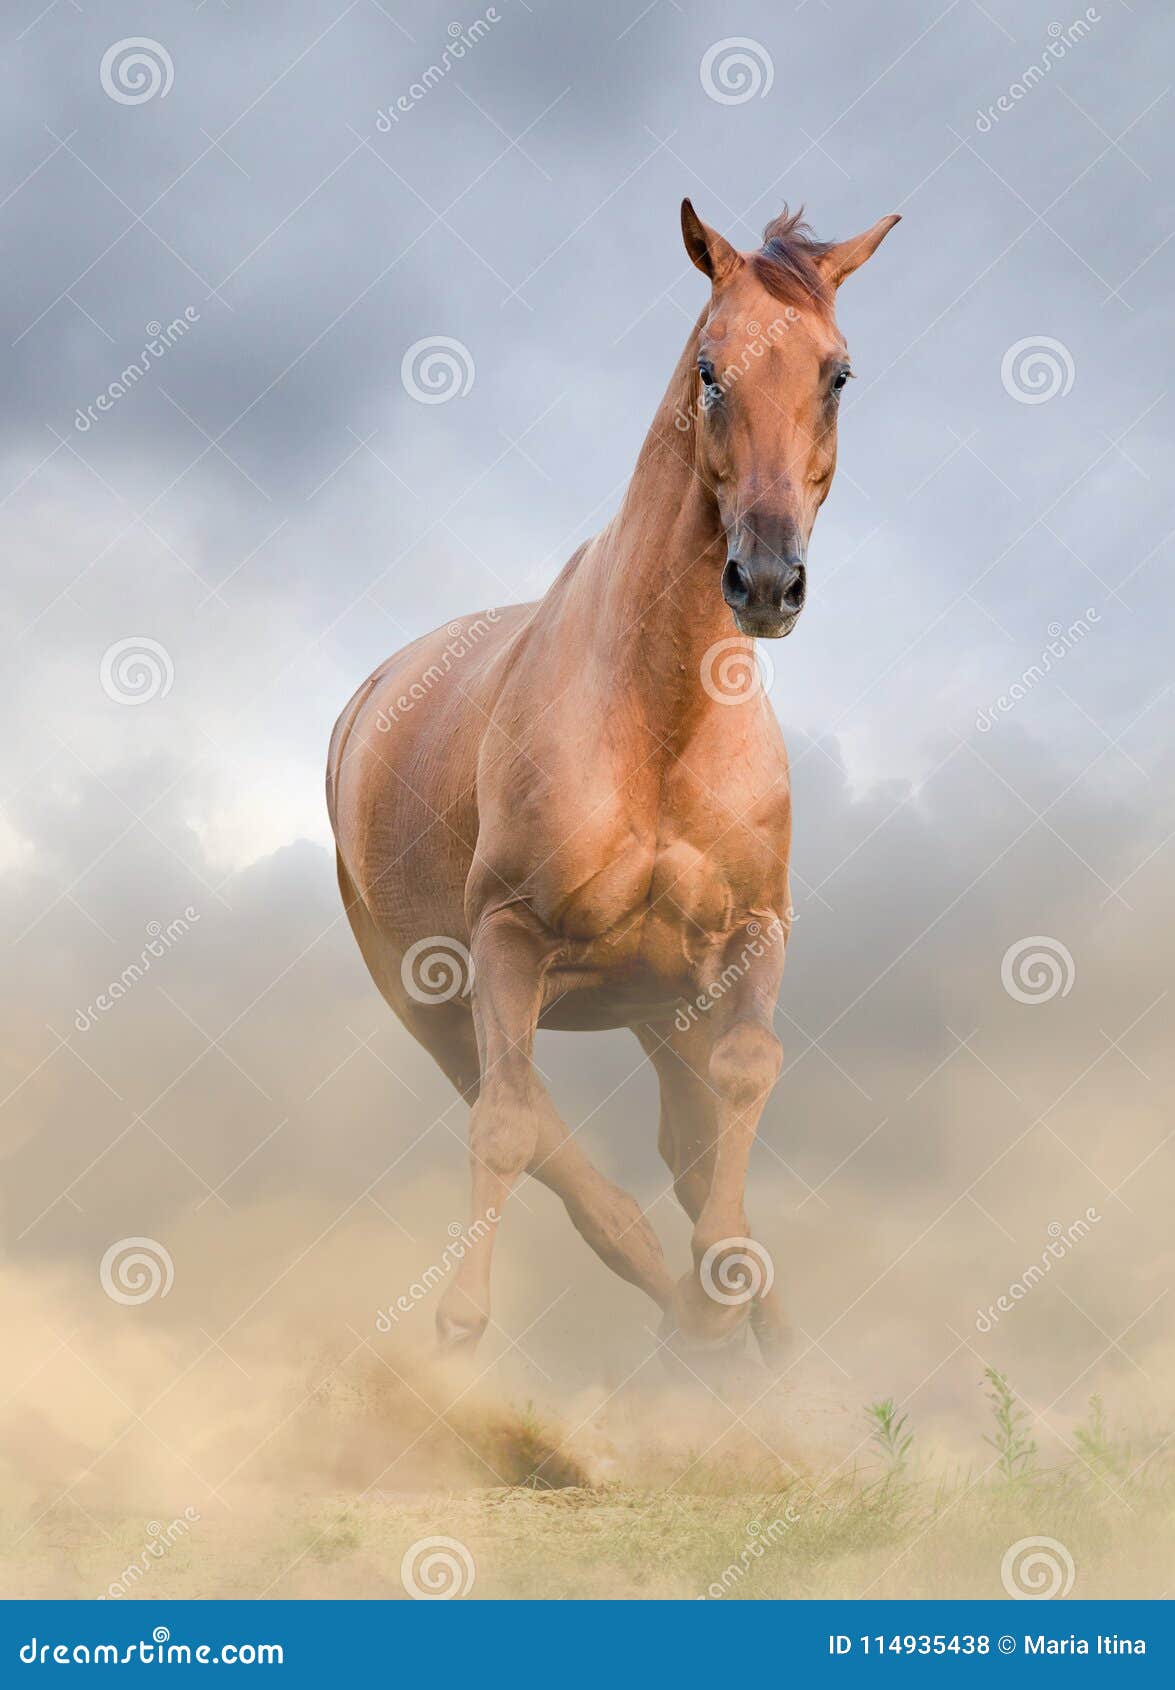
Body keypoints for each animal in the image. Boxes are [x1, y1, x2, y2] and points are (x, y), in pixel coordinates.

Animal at [327, 201, 899, 1358]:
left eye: (837, 373)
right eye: (710, 369)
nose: (764, 580)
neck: (659, 724)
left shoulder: (749, 936)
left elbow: (745, 1076)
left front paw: (732, 1292)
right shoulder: (506, 938)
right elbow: (507, 1129)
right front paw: (459, 1330)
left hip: (658, 1005)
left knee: (673, 1145)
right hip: (436, 1000)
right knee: (538, 1129)